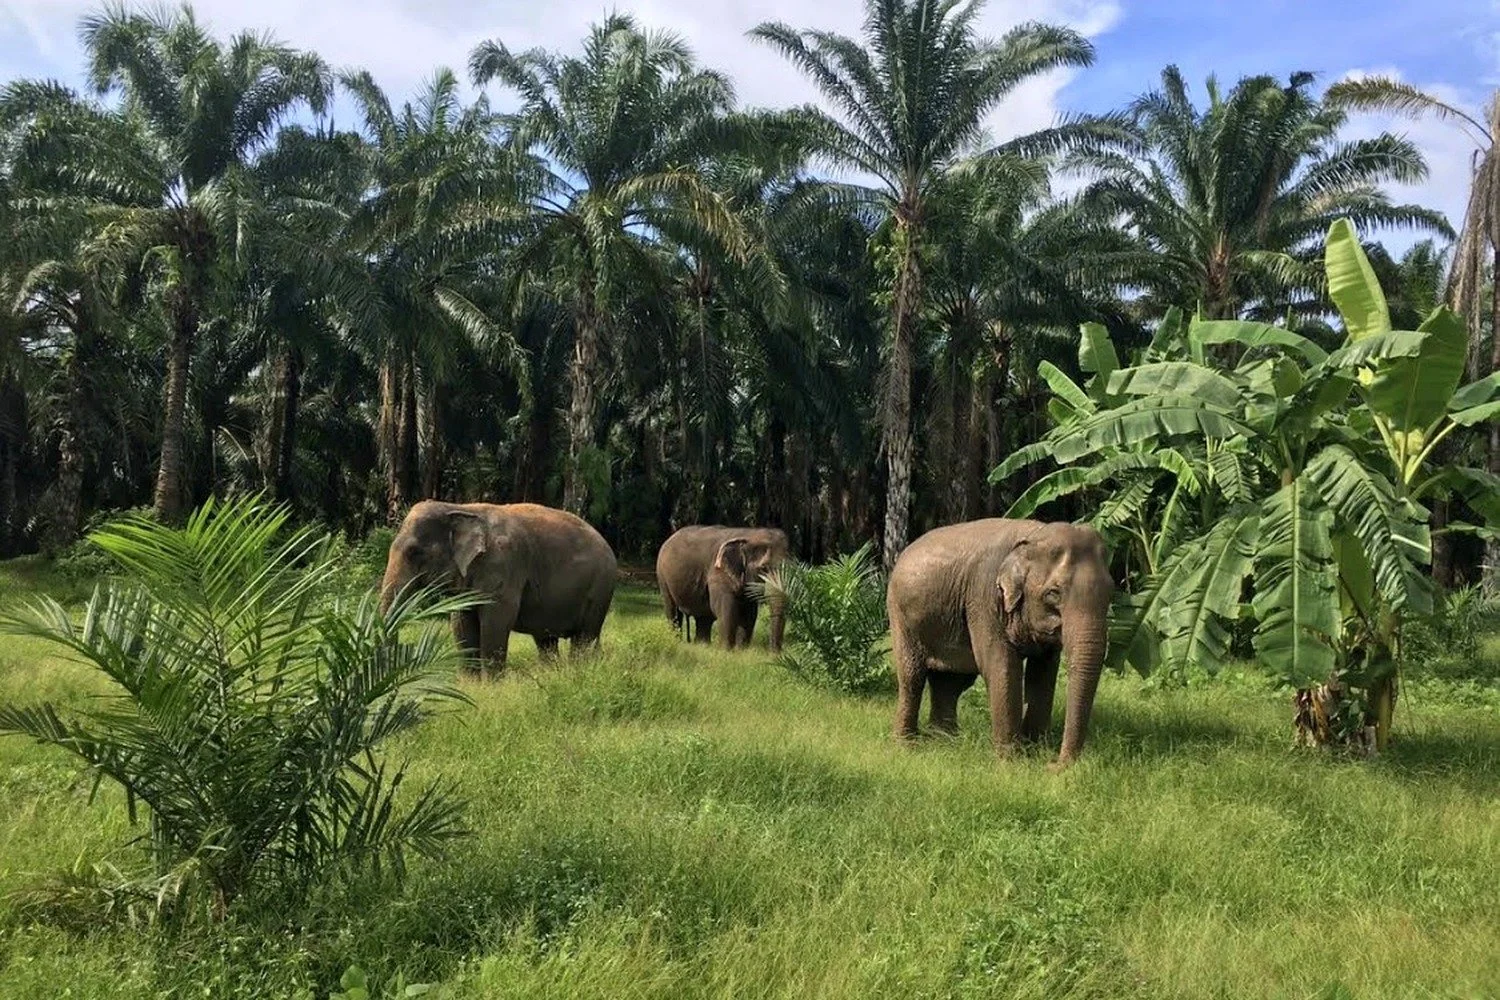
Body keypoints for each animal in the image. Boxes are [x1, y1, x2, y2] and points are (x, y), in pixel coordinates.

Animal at [380, 500, 617, 675]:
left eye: (414, 552)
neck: (461, 508)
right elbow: (461, 620)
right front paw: (471, 683)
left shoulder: (503, 563)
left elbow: (497, 619)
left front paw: (490, 684)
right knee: (547, 639)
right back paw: (554, 673)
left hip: (600, 588)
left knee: (584, 636)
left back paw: (581, 671)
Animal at [655, 526, 789, 651]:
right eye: (763, 568)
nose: (775, 653)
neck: (749, 534)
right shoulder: (718, 573)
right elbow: (726, 610)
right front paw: (727, 651)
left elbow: (749, 614)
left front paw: (741, 650)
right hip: (662, 576)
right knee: (673, 611)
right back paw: (676, 641)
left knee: (704, 617)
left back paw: (703, 645)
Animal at [886, 518, 1113, 768]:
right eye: (1053, 593)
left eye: (1111, 593)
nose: (1053, 765)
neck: (1034, 534)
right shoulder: (984, 599)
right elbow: (1001, 667)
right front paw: (1011, 763)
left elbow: (1043, 674)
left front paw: (1034, 751)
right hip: (901, 617)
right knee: (912, 678)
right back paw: (907, 745)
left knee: (950, 682)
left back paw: (945, 741)